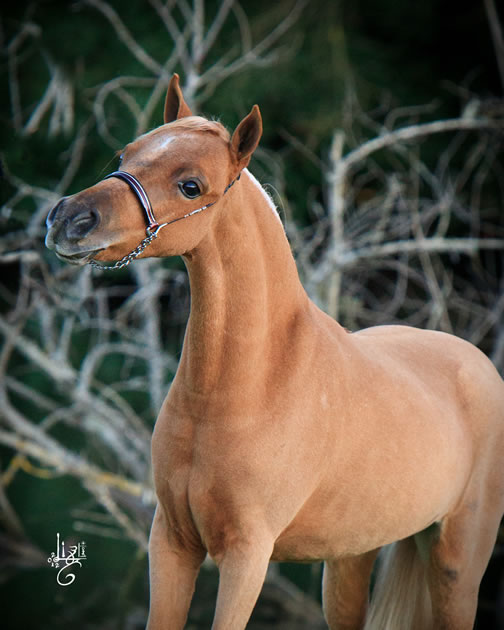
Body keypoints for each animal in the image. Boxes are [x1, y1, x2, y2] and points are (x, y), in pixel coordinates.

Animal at [47, 75, 504, 630]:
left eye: (191, 185)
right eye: (125, 154)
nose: (70, 219)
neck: (246, 388)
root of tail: (477, 362)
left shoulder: (247, 557)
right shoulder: (171, 543)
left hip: (458, 564)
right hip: (351, 558)